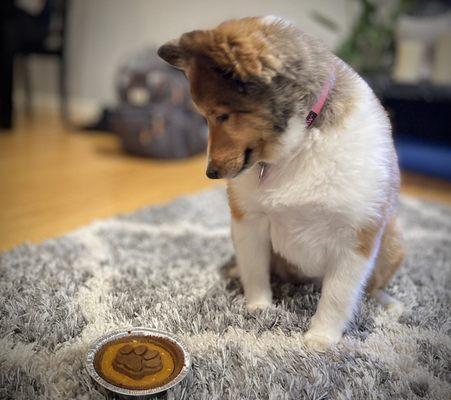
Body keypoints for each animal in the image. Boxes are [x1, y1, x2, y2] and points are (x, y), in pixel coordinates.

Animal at [157, 15, 404, 350]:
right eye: (205, 116)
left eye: (222, 115)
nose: (211, 173)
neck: (299, 143)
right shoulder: (249, 220)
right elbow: (255, 270)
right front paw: (258, 308)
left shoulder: (355, 238)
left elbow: (337, 297)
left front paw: (320, 339)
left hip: (393, 242)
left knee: (370, 287)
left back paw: (388, 303)